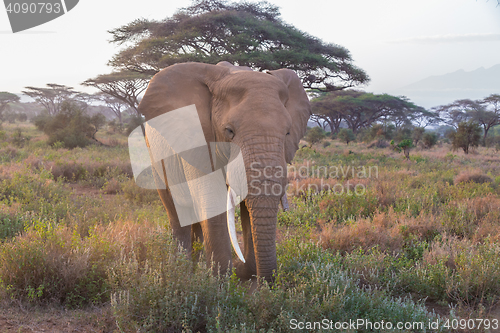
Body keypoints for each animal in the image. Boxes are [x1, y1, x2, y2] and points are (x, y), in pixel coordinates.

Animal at [137, 61, 308, 282]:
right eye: (229, 131)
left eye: (287, 132)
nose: (267, 283)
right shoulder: (199, 142)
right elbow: (213, 201)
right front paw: (220, 280)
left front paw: (243, 272)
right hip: (155, 157)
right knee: (175, 211)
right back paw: (182, 270)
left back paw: (197, 265)